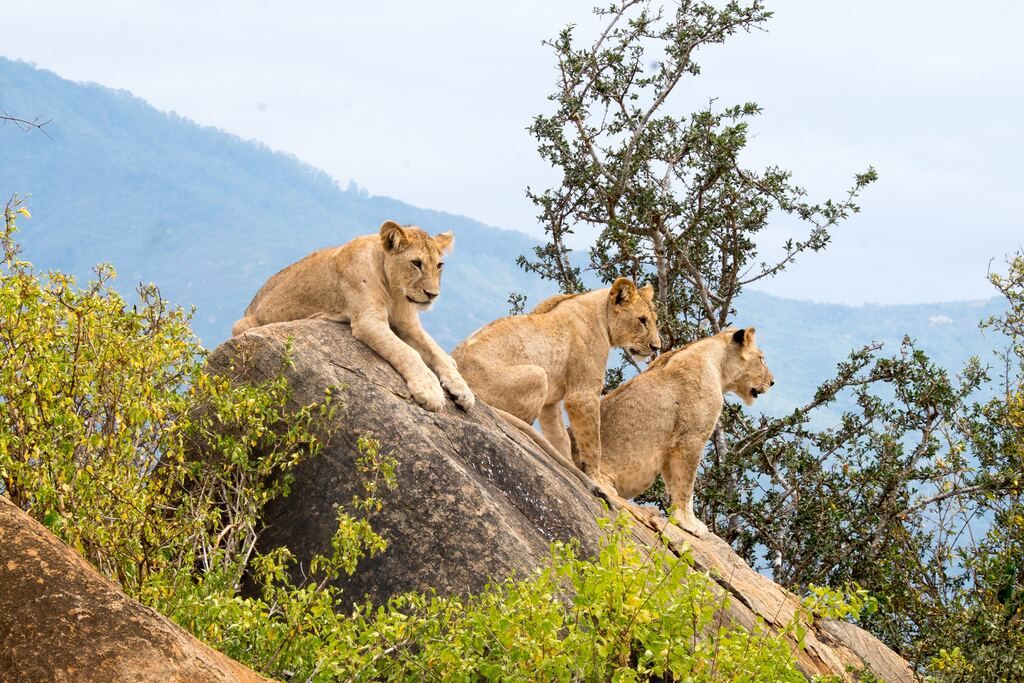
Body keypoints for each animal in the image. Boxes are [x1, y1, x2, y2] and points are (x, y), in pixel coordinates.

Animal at [232, 220, 474, 413]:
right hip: (242, 325)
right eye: (416, 263)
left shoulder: (409, 325)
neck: (394, 291)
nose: (433, 295)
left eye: (439, 265)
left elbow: (436, 352)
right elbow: (407, 353)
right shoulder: (368, 321)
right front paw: (430, 390)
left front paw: (463, 390)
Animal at [451, 278, 660, 483]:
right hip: (538, 374)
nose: (656, 347)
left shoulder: (550, 403)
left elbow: (560, 437)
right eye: (642, 320)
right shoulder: (582, 396)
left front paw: (568, 465)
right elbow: (593, 444)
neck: (602, 314)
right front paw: (595, 478)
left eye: (654, 320)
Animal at [596, 327, 774, 537]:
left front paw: (680, 519)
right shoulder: (690, 438)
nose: (772, 382)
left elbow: (675, 484)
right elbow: (686, 485)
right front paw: (689, 523)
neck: (718, 366)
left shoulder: (671, 446)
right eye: (761, 359)